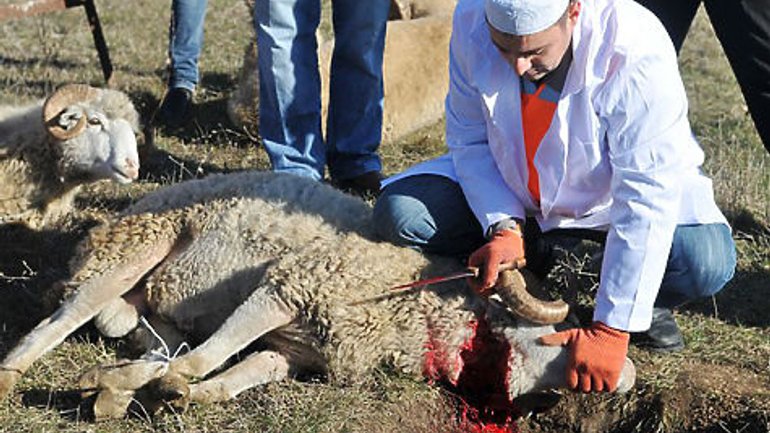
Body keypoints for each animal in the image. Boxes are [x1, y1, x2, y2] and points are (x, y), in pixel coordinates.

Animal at [0, 170, 632, 420]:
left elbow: (234, 376)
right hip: (134, 247)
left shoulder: (294, 351)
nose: (622, 378)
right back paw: (15, 372)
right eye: (563, 334)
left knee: (151, 339)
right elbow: (213, 356)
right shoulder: (288, 284)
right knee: (62, 319)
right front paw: (169, 386)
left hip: (149, 300)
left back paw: (117, 382)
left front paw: (171, 393)